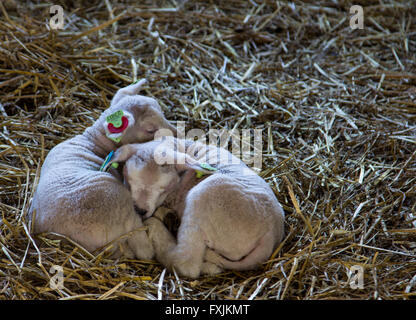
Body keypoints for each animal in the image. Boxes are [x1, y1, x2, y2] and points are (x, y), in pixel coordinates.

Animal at [104, 137, 286, 278]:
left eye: (165, 188)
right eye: (128, 179)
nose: (140, 210)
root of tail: (270, 234)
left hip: (203, 198)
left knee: (187, 264)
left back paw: (157, 229)